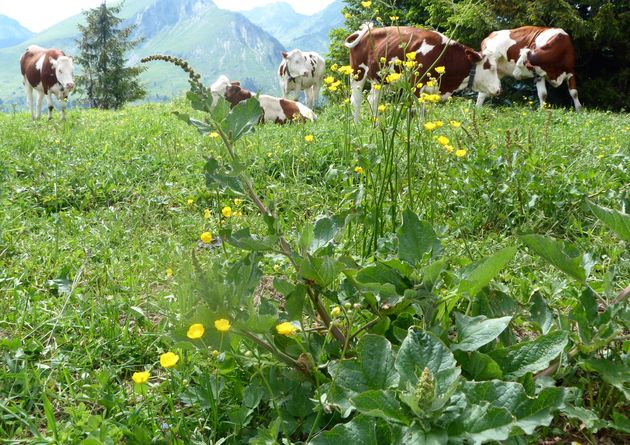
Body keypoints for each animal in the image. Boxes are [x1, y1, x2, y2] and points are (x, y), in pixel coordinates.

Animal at [344, 23, 502, 122]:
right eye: (490, 67)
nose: (498, 90)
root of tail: (367, 30)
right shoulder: (416, 85)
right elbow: (421, 111)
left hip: (380, 80)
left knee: (373, 101)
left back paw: (375, 126)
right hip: (357, 72)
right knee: (356, 100)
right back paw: (356, 126)